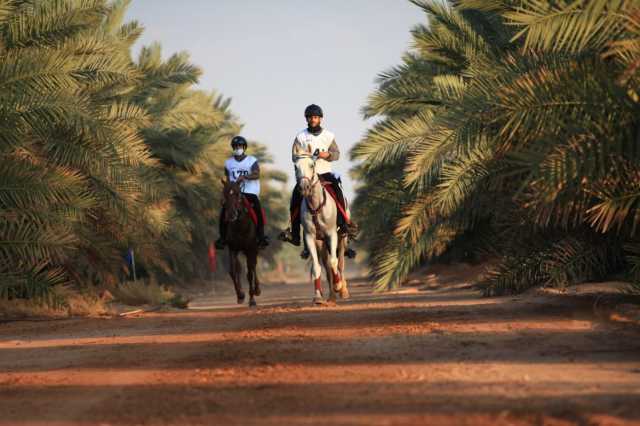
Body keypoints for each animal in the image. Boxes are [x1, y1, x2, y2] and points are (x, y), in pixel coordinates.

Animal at [296, 150, 350, 302]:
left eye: (312, 165)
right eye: (296, 167)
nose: (304, 187)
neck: (316, 206)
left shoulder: (332, 234)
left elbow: (334, 262)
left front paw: (339, 286)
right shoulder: (310, 237)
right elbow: (317, 267)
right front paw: (318, 296)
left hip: (342, 238)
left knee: (340, 263)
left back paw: (342, 290)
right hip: (321, 243)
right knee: (326, 267)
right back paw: (331, 296)